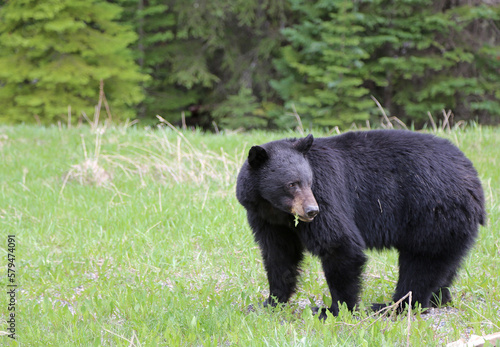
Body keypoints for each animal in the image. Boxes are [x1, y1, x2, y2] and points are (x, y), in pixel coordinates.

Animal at [236, 130, 486, 318]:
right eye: (291, 184)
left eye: (309, 181)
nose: (312, 211)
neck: (277, 210)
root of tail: (475, 179)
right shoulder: (266, 219)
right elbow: (279, 256)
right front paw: (269, 303)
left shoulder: (326, 194)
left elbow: (339, 245)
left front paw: (333, 310)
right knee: (445, 264)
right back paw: (439, 299)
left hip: (432, 211)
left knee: (420, 263)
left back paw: (392, 306)